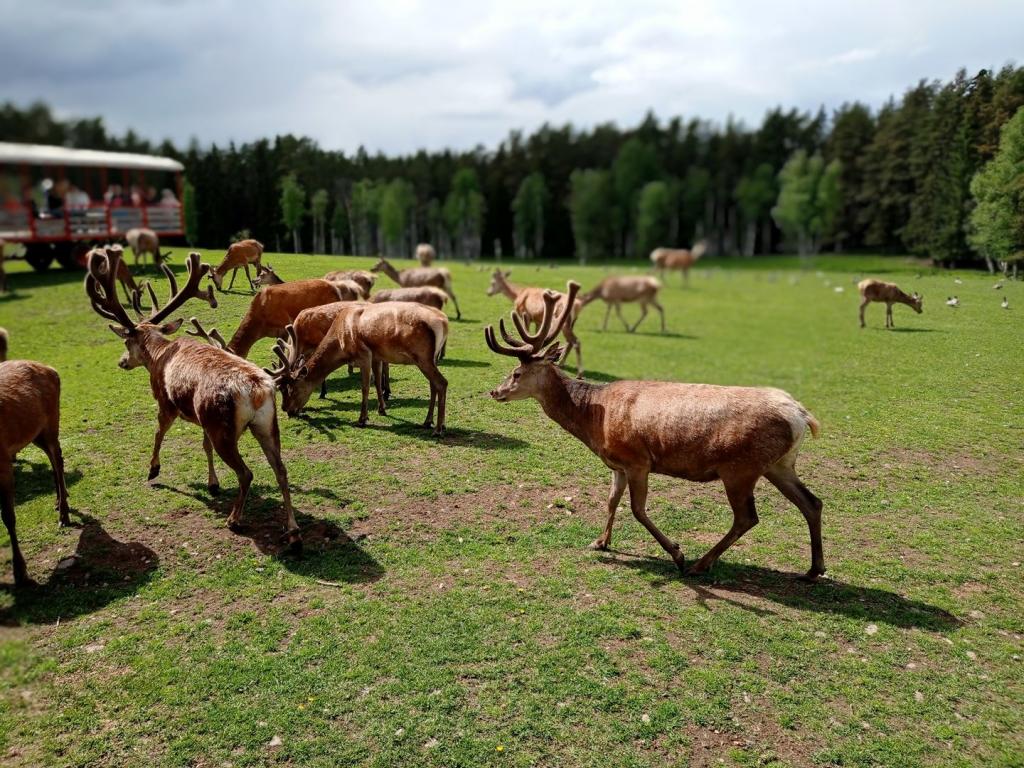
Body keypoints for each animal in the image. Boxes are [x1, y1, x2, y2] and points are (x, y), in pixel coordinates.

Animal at [0, 358, 73, 585]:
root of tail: (51, 369)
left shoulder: (3, 460)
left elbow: (8, 517)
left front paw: (21, 572)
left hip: (51, 422)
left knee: (58, 457)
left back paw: (64, 514)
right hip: (36, 432)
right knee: (54, 458)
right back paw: (59, 501)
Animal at [84, 247, 301, 552]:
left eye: (126, 342)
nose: (122, 362)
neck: (158, 355)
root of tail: (259, 388)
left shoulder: (165, 402)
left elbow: (158, 433)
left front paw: (153, 470)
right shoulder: (202, 417)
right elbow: (203, 446)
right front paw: (212, 483)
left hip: (223, 426)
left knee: (246, 473)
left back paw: (234, 520)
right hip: (266, 424)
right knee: (281, 469)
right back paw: (293, 531)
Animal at [272, 301, 448, 436]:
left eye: (292, 389)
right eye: (280, 389)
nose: (286, 409)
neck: (339, 340)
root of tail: (444, 322)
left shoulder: (364, 354)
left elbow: (365, 387)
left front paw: (362, 419)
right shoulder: (376, 356)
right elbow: (377, 383)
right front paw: (382, 409)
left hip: (422, 356)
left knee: (441, 383)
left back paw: (438, 429)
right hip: (432, 358)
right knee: (433, 385)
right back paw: (428, 422)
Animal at [483, 284, 827, 581]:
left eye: (516, 373)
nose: (494, 391)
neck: (594, 420)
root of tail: (802, 416)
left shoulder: (638, 460)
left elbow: (637, 509)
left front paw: (676, 553)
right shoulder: (617, 464)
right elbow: (611, 500)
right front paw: (600, 542)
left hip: (740, 468)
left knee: (747, 517)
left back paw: (701, 564)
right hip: (779, 464)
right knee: (812, 502)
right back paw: (813, 570)